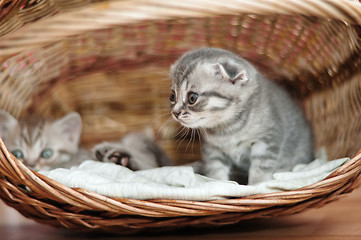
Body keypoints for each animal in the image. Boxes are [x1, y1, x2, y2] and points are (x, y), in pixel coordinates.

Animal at [169, 47, 312, 185]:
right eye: (172, 96)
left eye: (192, 98)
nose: (175, 113)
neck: (227, 128)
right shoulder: (212, 150)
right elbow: (216, 169)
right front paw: (219, 183)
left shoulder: (267, 140)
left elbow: (260, 168)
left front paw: (256, 185)